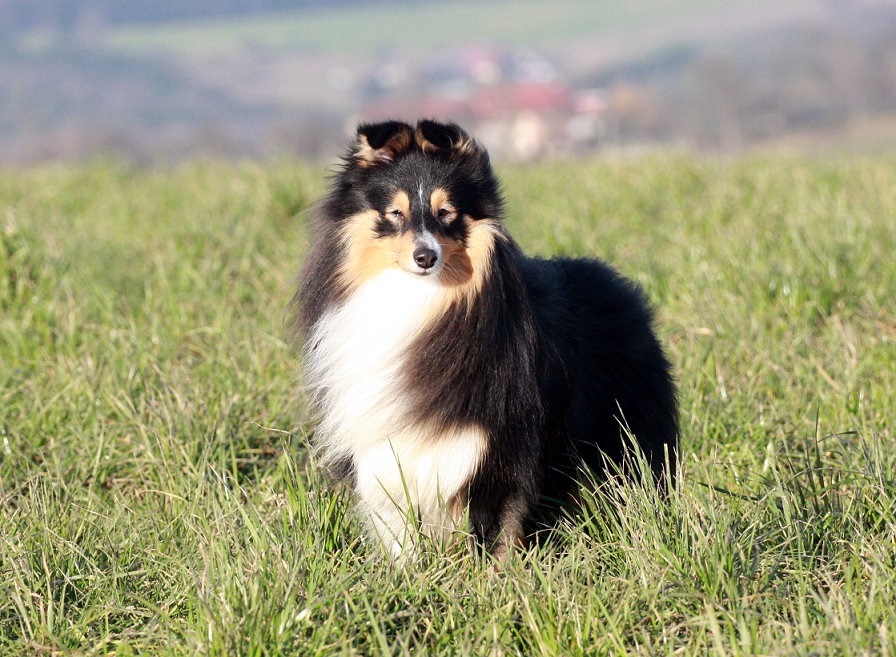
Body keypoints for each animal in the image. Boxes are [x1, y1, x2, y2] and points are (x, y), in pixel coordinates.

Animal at [294, 119, 680, 560]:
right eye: (395, 213)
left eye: (447, 213)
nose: (425, 257)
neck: (419, 300)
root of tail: (618, 285)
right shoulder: (386, 453)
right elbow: (400, 533)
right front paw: (407, 571)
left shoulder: (498, 446)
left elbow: (493, 532)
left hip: (623, 436)